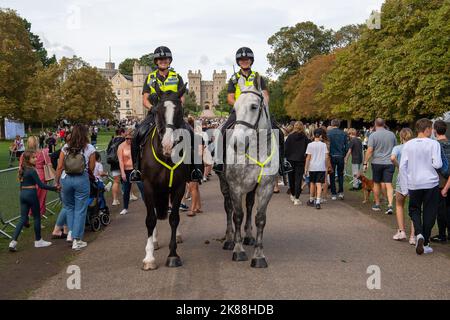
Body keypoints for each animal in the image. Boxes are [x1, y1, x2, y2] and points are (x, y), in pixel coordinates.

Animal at [142, 84, 189, 270]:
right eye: (157, 111)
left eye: (180, 111)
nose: (168, 145)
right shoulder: (148, 186)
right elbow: (150, 219)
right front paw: (149, 258)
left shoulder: (179, 186)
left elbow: (174, 218)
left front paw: (173, 254)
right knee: (154, 214)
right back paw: (153, 242)